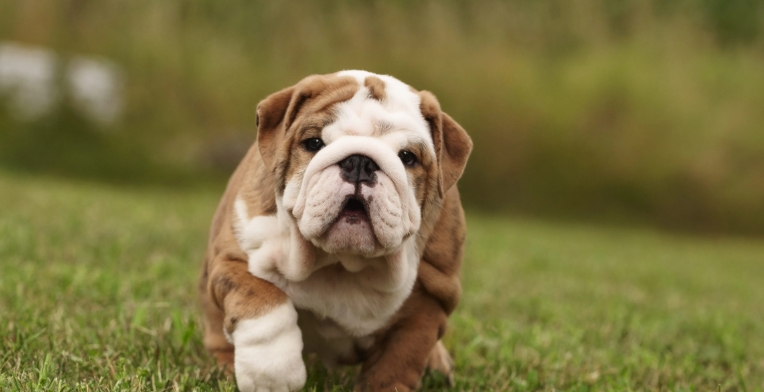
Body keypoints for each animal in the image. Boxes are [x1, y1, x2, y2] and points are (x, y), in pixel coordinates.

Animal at [197, 71, 472, 392]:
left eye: (407, 157)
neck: (341, 263)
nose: (360, 162)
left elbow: (397, 361)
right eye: (314, 142)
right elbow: (263, 300)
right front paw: (272, 372)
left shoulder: (430, 297)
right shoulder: (233, 258)